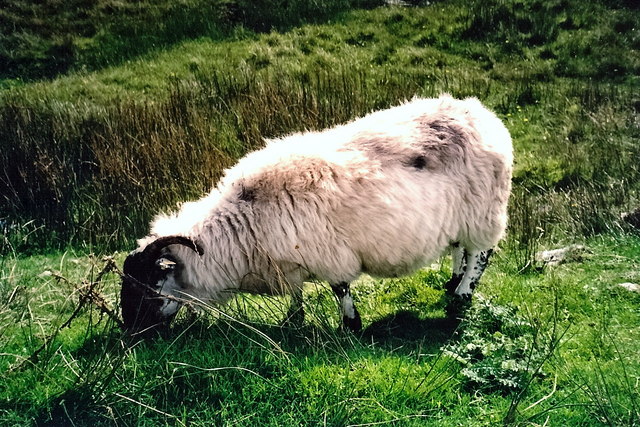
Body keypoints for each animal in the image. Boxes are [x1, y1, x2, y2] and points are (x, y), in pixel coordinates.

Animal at [120, 95, 512, 336]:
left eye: (147, 287)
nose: (130, 334)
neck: (243, 224)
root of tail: (483, 116)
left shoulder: (332, 254)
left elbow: (340, 289)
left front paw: (351, 326)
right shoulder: (287, 259)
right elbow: (296, 294)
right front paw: (293, 320)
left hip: (484, 211)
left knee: (481, 254)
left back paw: (462, 295)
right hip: (460, 218)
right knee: (460, 249)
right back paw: (452, 282)